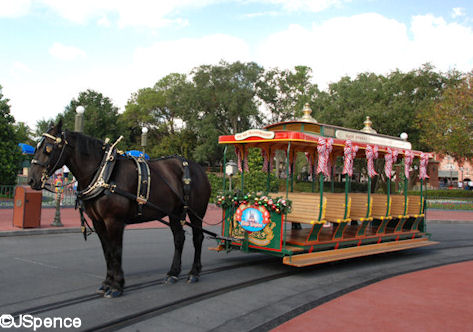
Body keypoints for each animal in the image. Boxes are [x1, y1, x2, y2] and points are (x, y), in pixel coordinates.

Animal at [26, 120, 209, 298]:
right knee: (179, 239)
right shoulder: (98, 222)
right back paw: (173, 273)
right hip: (174, 213)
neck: (104, 174)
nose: (31, 180)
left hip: (196, 212)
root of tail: (199, 168)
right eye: (36, 148)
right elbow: (107, 251)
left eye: (48, 149)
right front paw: (107, 283)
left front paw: (117, 286)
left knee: (198, 238)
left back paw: (194, 272)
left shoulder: (114, 221)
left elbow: (116, 250)